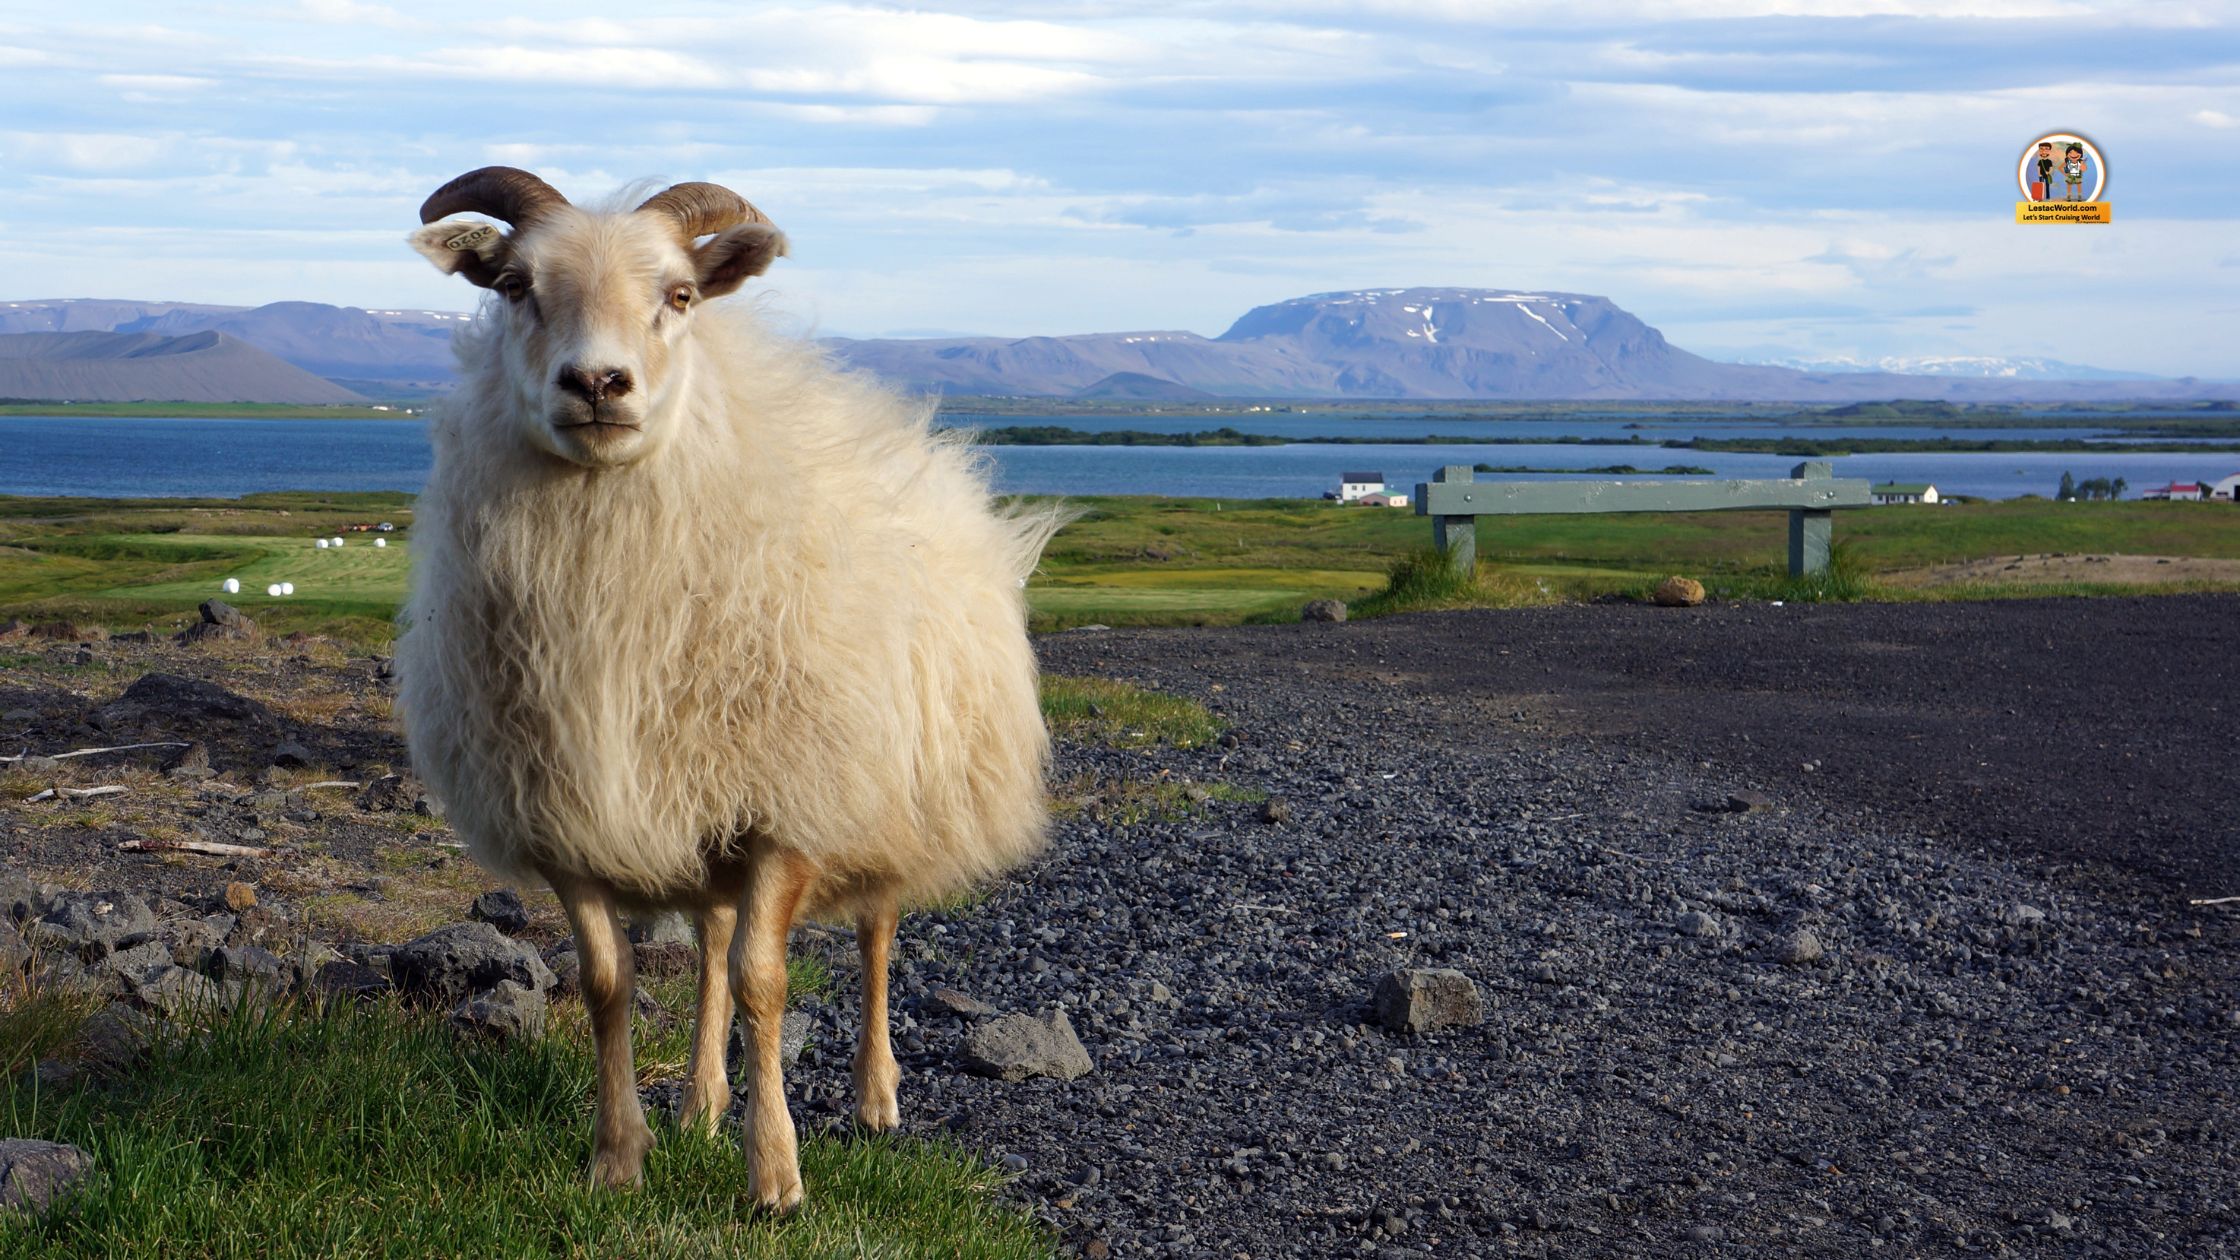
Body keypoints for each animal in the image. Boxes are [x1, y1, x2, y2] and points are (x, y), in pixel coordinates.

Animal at [398, 167, 1060, 1209]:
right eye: (512, 286)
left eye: (679, 296)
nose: (598, 384)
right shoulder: (568, 815)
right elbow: (610, 981)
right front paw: (618, 1157)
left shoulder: (788, 804)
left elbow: (764, 983)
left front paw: (776, 1176)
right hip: (700, 794)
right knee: (708, 937)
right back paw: (701, 1102)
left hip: (880, 788)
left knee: (874, 934)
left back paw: (874, 1098)